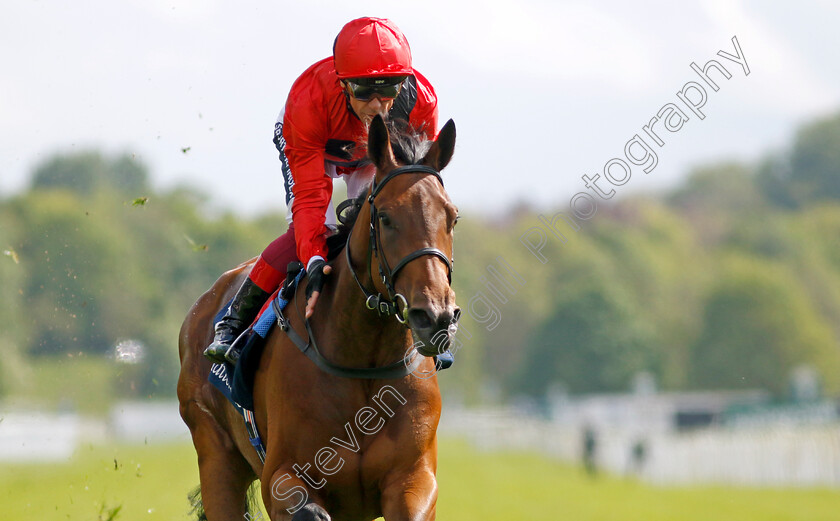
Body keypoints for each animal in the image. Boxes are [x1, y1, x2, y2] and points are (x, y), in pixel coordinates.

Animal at [178, 115, 462, 520]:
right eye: (386, 217)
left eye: (452, 217)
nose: (435, 315)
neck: (363, 363)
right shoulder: (282, 476)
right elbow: (306, 507)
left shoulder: (414, 477)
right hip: (216, 456)